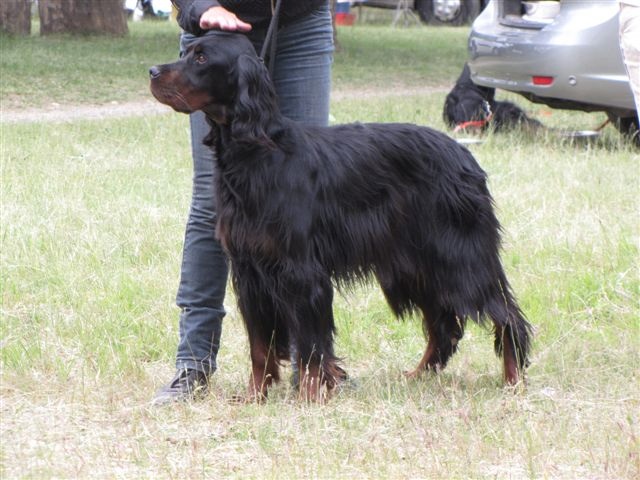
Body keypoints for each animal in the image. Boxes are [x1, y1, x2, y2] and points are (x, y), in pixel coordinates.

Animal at [149, 31, 528, 402]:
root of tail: (464, 155)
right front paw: (256, 396)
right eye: (187, 52)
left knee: (505, 316)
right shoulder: (250, 272)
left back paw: (513, 382)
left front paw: (310, 396)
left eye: (201, 58)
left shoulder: (301, 271)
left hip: (460, 258)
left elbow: (310, 345)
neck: (259, 151)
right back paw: (417, 376)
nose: (152, 71)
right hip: (415, 265)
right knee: (443, 325)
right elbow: (260, 347)